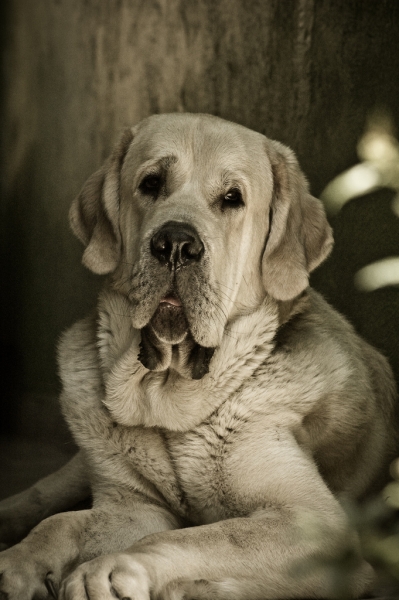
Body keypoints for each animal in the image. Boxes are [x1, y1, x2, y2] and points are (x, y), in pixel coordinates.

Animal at [0, 113, 399, 600]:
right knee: (44, 494)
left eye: (232, 199)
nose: (175, 244)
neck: (171, 400)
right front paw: (18, 562)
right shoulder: (131, 505)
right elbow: (59, 525)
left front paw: (112, 571)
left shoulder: (313, 526)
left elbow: (199, 536)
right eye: (151, 183)